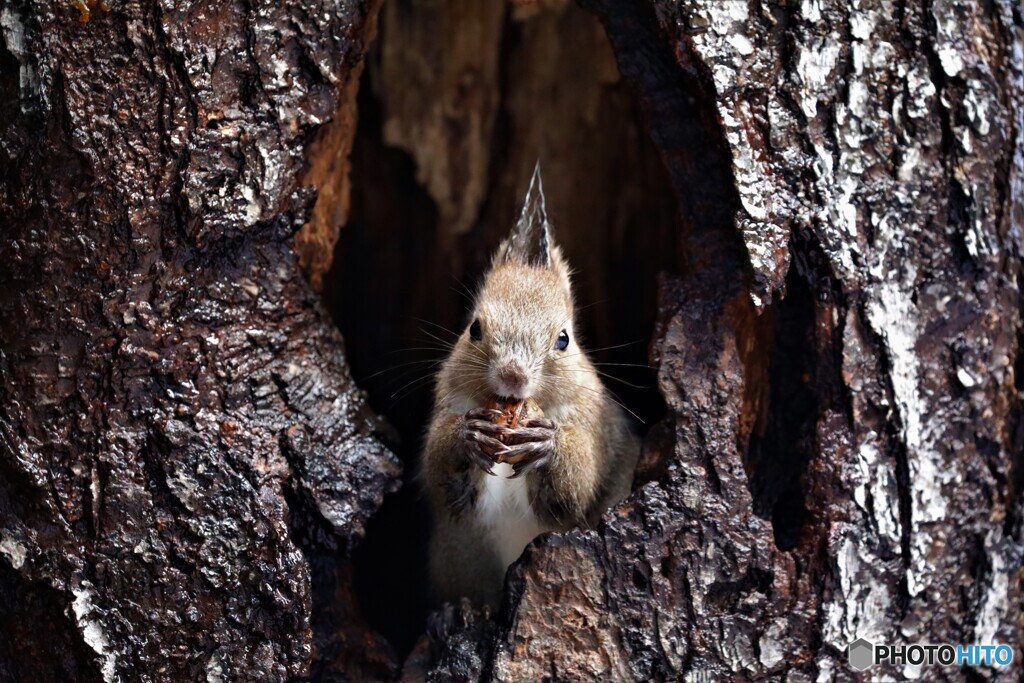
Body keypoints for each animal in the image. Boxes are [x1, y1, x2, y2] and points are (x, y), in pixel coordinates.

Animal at [419, 166, 634, 610]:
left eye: (564, 339)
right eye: (475, 328)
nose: (513, 375)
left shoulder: (595, 424)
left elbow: (574, 491)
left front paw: (546, 444)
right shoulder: (448, 401)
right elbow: (442, 481)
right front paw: (469, 434)